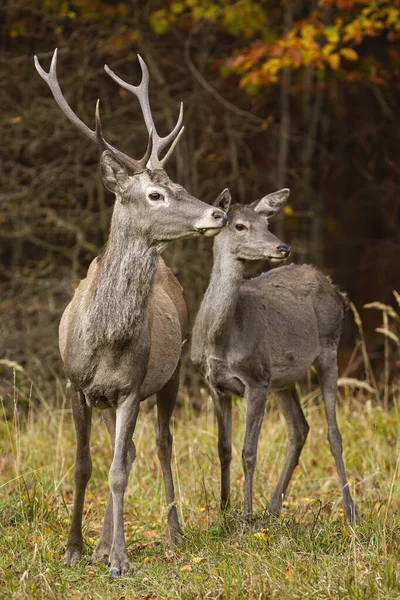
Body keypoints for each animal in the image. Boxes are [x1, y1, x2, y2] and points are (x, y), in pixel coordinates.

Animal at [35, 49, 228, 576]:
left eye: (178, 184)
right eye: (155, 194)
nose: (219, 213)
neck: (104, 339)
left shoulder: (130, 386)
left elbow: (118, 471)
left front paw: (119, 558)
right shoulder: (77, 385)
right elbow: (84, 466)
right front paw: (76, 549)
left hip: (171, 372)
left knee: (160, 445)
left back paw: (173, 534)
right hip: (111, 397)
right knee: (133, 450)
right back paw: (102, 543)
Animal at [191, 190, 356, 524]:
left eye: (266, 223)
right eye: (240, 226)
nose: (282, 247)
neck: (221, 337)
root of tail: (337, 291)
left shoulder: (256, 379)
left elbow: (248, 452)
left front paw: (245, 517)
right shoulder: (215, 384)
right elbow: (223, 448)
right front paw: (223, 513)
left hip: (327, 348)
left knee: (333, 432)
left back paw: (349, 511)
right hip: (282, 379)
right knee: (299, 428)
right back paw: (273, 507)